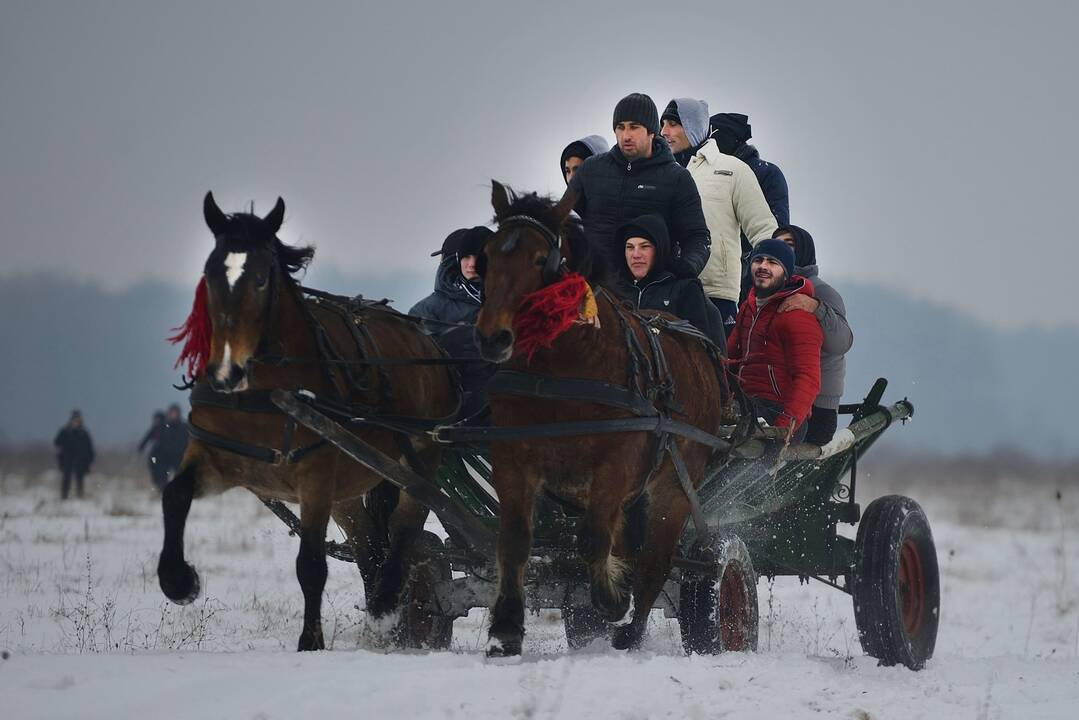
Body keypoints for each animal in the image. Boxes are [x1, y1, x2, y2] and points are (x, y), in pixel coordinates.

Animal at [156, 194, 455, 651]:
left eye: (262, 278)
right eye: (210, 273)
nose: (226, 372)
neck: (266, 391)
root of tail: (425, 339)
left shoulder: (315, 474)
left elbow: (311, 564)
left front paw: (310, 642)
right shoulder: (218, 456)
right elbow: (174, 496)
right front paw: (178, 581)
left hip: (418, 455)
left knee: (407, 522)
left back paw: (387, 601)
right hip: (353, 486)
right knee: (368, 546)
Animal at [474, 181, 733, 660]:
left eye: (540, 259)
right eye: (488, 255)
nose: (492, 337)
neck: (561, 369)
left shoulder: (616, 462)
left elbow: (594, 538)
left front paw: (611, 599)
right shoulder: (513, 455)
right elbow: (515, 540)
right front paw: (505, 629)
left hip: (674, 483)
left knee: (655, 559)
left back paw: (631, 628)